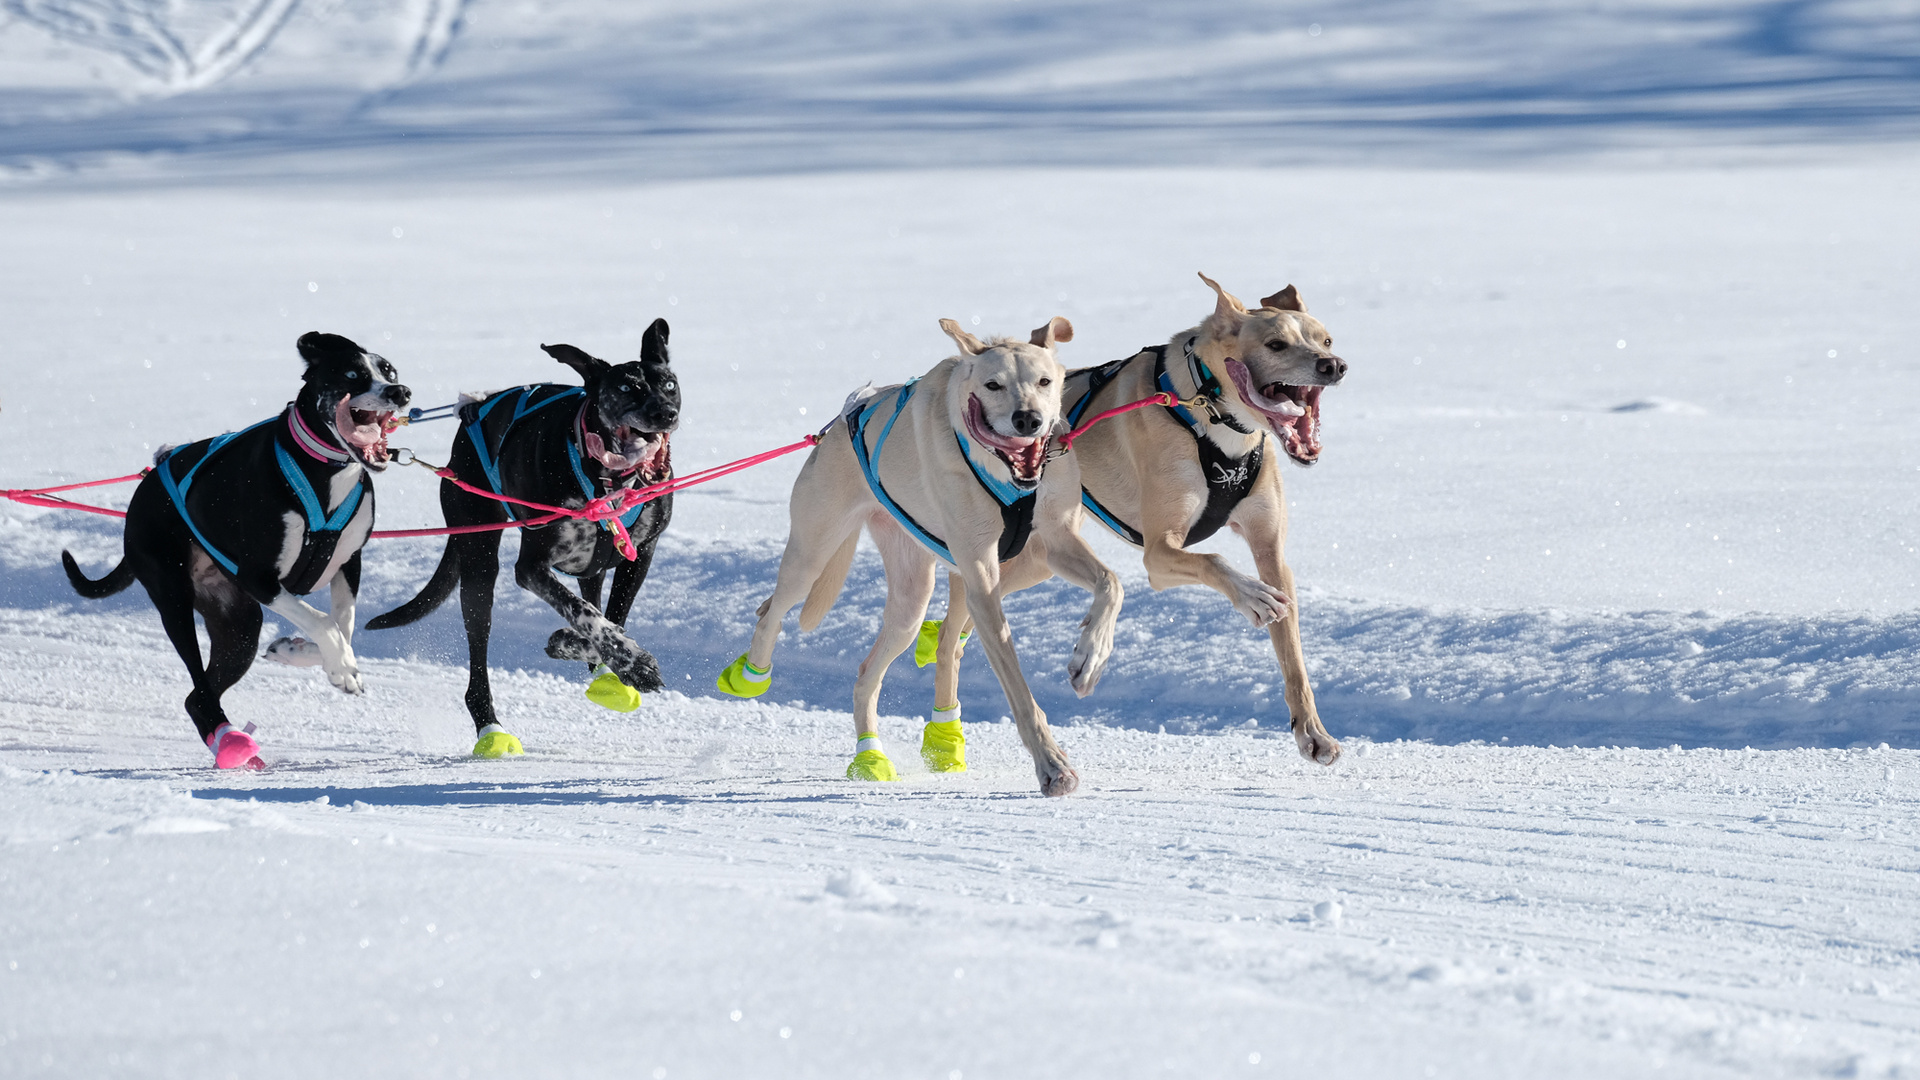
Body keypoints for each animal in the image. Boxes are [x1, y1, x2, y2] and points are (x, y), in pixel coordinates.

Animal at [60, 330, 408, 764]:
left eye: (390, 371)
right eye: (351, 374)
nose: (400, 392)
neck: (322, 471)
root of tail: (146, 485)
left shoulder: (349, 562)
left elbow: (342, 625)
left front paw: (304, 653)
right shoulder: (259, 578)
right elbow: (325, 621)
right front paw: (341, 667)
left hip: (239, 628)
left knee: (196, 695)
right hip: (175, 599)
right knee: (198, 687)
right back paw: (229, 741)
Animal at [366, 319, 683, 757]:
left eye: (669, 383)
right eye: (625, 387)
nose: (665, 413)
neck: (605, 478)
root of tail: (472, 412)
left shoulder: (640, 554)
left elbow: (608, 618)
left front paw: (587, 648)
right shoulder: (531, 566)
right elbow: (584, 613)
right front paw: (633, 661)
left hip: (590, 568)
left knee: (592, 599)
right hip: (480, 562)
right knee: (478, 656)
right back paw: (490, 727)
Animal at [714, 311, 1121, 791]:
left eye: (1045, 381)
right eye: (993, 385)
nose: (1029, 420)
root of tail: (844, 418)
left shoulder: (1054, 540)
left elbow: (1111, 583)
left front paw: (1090, 658)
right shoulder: (981, 570)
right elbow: (1017, 686)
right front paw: (1052, 764)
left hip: (928, 593)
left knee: (875, 669)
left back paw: (882, 752)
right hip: (812, 555)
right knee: (772, 611)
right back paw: (753, 675)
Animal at [929, 276, 1351, 764]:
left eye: (1326, 340)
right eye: (1276, 343)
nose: (1333, 365)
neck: (1210, 415)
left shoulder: (1270, 550)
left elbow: (1293, 654)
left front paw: (1312, 730)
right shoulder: (1160, 552)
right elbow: (1215, 562)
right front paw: (1250, 596)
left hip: (1035, 562)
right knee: (950, 632)